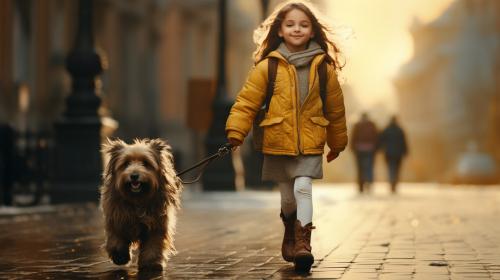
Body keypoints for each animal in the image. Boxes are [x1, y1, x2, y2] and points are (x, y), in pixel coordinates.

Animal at [99, 138, 182, 272]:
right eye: (126, 163)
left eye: (146, 163)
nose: (134, 175)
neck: (137, 199)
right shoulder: (116, 218)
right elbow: (116, 238)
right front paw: (120, 257)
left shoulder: (157, 225)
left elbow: (153, 245)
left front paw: (151, 263)